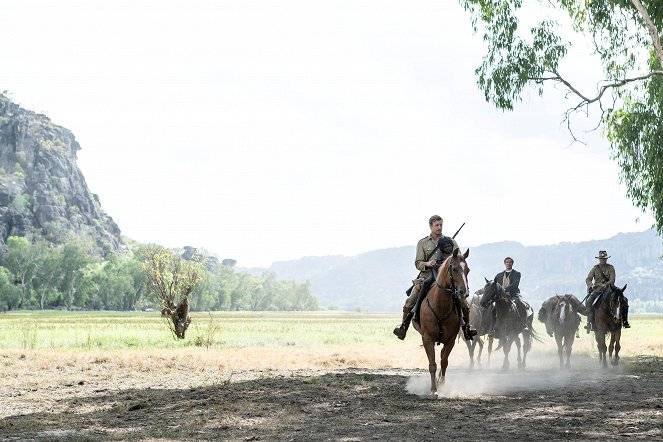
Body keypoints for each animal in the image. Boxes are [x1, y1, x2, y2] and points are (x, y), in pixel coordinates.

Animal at [412, 247, 470, 396]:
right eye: (454, 269)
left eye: (467, 269)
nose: (464, 292)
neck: (441, 306)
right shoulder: (427, 339)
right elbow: (432, 364)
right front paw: (433, 390)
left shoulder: (450, 340)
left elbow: (444, 361)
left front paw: (442, 386)